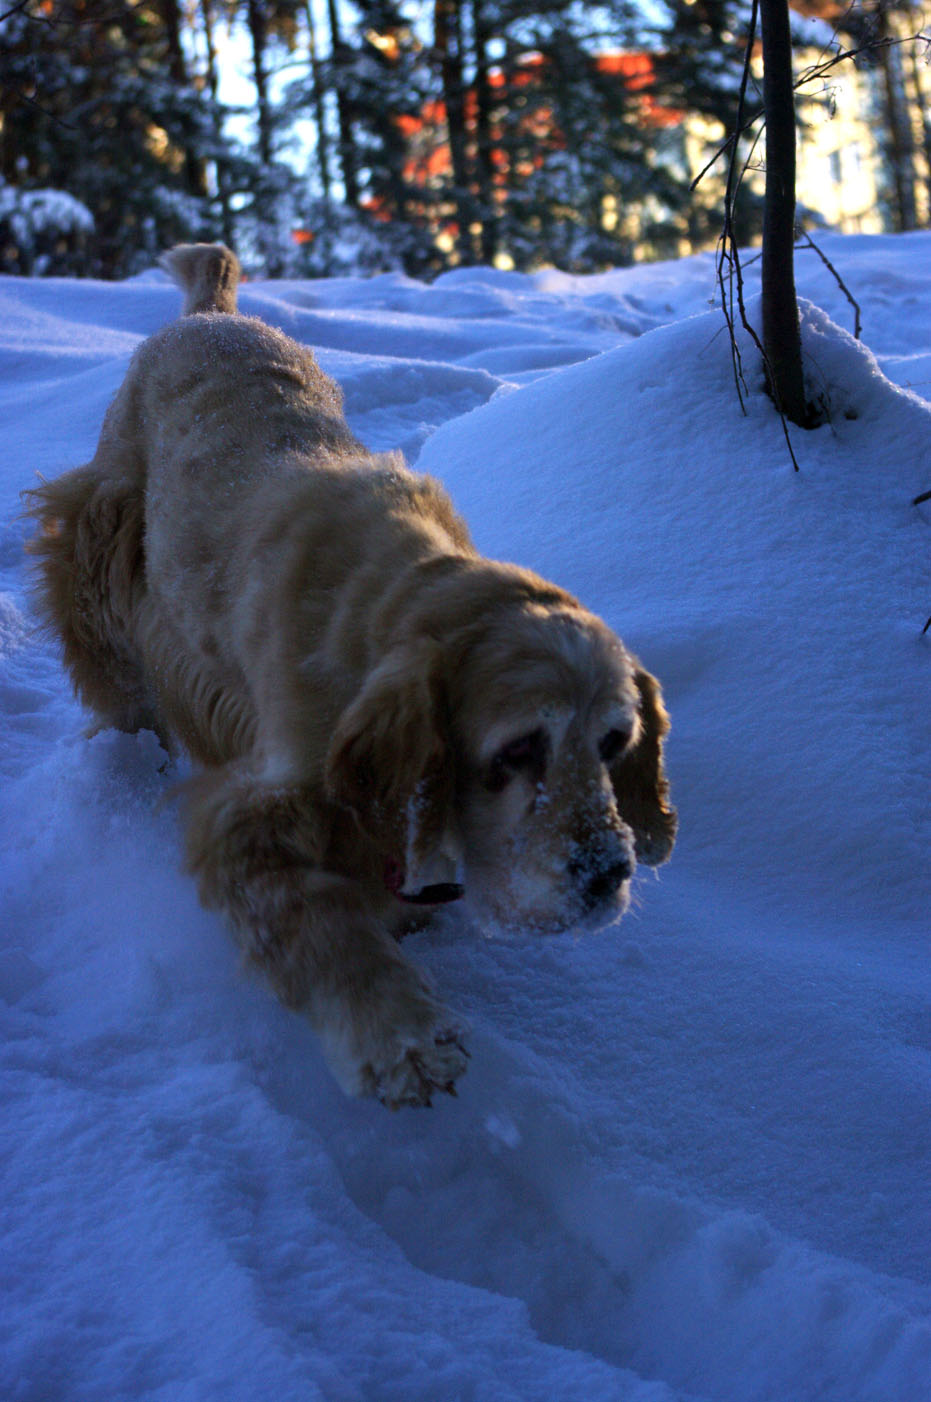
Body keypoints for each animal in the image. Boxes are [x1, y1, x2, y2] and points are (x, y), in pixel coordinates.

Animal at [25, 249, 673, 1104]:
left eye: (613, 743)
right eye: (515, 751)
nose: (607, 874)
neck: (394, 606)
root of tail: (211, 312)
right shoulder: (263, 807)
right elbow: (318, 924)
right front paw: (402, 1039)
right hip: (100, 543)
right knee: (113, 674)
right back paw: (125, 748)